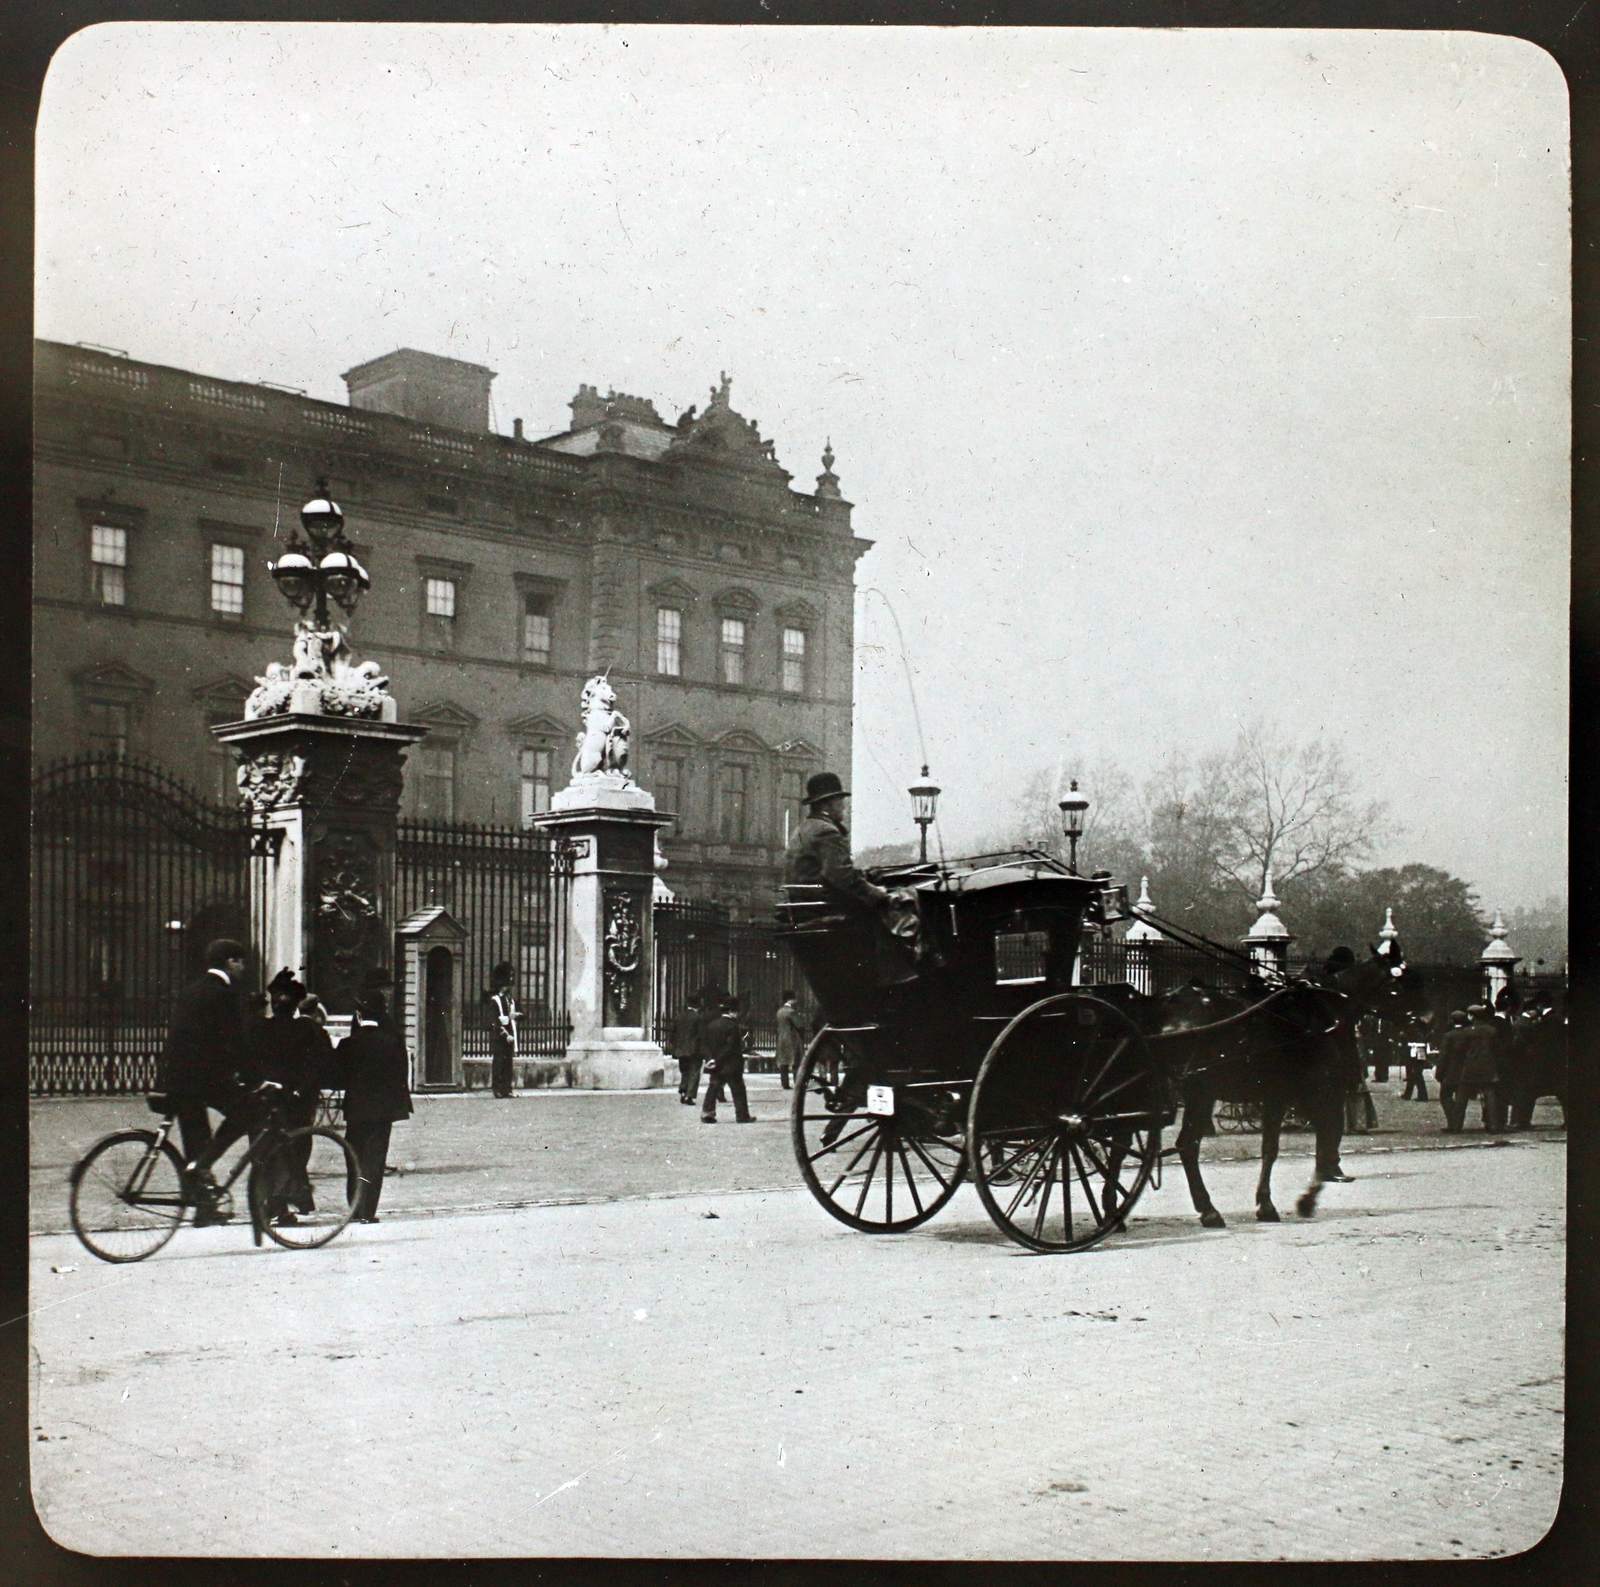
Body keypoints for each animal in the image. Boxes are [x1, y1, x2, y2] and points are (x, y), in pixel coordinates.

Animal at [1152, 940, 1427, 1228]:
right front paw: (1295, 1201)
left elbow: (1284, 1146)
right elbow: (1302, 1143)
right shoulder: (1307, 1094)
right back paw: (1209, 1210)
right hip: (1200, 1094)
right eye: (1403, 982)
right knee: (1188, 1144)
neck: (1322, 1011)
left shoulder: (1290, 1096)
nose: (1427, 1023)